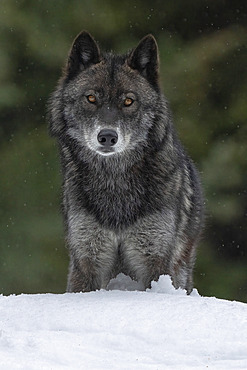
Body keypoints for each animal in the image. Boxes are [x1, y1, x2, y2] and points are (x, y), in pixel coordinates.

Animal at [48, 30, 205, 294]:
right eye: (91, 98)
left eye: (129, 101)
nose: (107, 136)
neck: (114, 183)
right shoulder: (87, 259)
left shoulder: (155, 261)